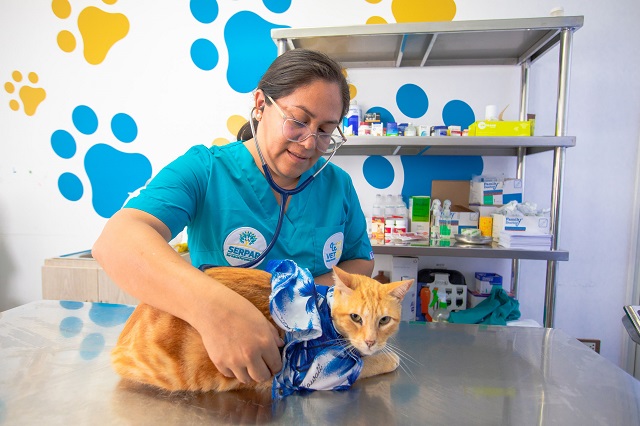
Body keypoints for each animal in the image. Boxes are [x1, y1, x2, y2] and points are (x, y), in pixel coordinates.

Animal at [111, 264, 413, 394]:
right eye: (355, 317)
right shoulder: (314, 374)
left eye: (384, 321)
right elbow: (368, 364)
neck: (322, 311)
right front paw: (385, 358)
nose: (372, 342)